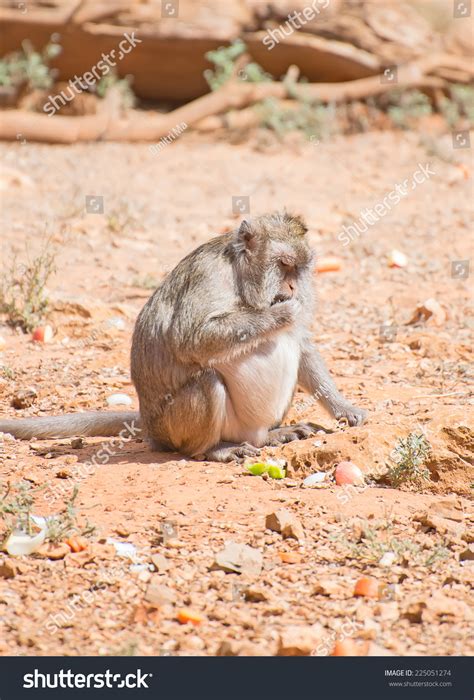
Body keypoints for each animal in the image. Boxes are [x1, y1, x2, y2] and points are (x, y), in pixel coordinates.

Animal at [0, 215, 366, 464]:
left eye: (298, 270)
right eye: (284, 264)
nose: (291, 287)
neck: (241, 278)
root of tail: (149, 426)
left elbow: (301, 343)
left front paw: (342, 408)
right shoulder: (210, 275)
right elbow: (191, 338)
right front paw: (280, 315)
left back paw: (271, 435)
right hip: (174, 428)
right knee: (207, 382)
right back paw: (214, 450)